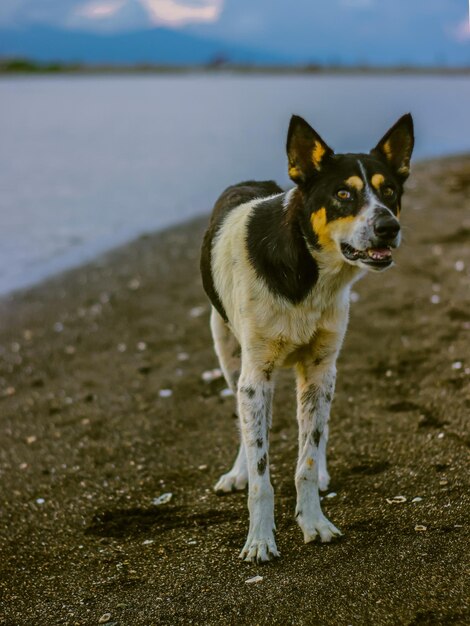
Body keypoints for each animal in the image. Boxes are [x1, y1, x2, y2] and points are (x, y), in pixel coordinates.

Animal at [200, 112, 414, 560]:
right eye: (342, 194)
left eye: (389, 191)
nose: (389, 227)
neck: (309, 270)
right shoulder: (255, 377)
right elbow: (262, 473)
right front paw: (260, 540)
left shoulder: (319, 369)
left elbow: (308, 460)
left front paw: (313, 521)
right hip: (227, 351)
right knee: (243, 423)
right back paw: (237, 471)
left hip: (324, 372)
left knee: (315, 430)